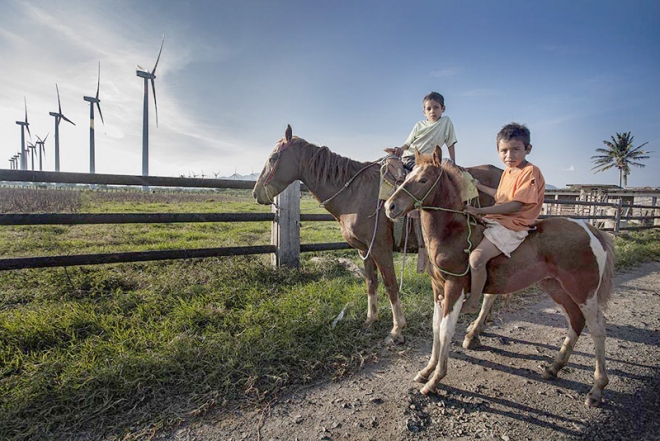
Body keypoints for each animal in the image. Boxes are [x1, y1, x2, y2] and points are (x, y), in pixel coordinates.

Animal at [255, 125, 502, 342]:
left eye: (273, 158)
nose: (257, 193)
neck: (355, 194)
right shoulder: (364, 249)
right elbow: (371, 282)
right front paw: (371, 319)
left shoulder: (380, 247)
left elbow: (390, 285)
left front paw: (397, 329)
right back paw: (481, 324)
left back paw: (474, 330)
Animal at [384, 146, 616, 408]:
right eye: (408, 176)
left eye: (423, 180)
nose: (390, 207)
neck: (452, 234)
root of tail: (590, 230)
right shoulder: (439, 290)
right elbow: (435, 328)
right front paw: (427, 370)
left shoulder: (454, 288)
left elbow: (445, 330)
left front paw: (435, 381)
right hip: (556, 287)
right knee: (576, 320)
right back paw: (554, 367)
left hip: (583, 291)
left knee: (597, 328)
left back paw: (596, 389)